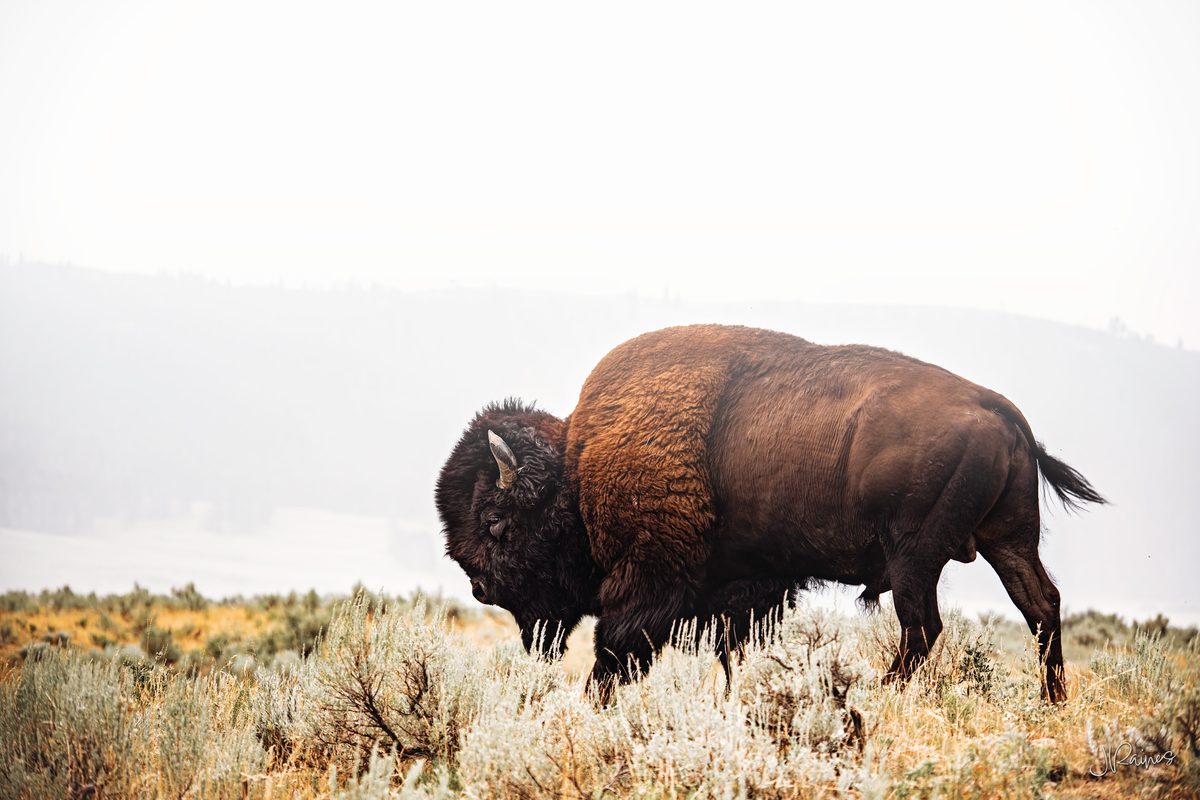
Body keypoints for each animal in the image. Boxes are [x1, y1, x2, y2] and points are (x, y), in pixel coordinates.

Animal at [435, 324, 1104, 702]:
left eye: (495, 523)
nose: (481, 588)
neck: (577, 465)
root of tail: (1001, 410)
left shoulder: (650, 579)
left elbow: (617, 647)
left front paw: (591, 704)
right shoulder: (750, 587)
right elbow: (736, 649)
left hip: (915, 554)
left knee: (924, 627)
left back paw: (882, 693)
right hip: (1008, 539)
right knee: (1040, 605)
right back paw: (1054, 700)